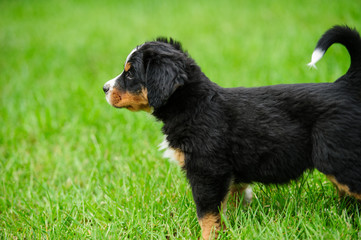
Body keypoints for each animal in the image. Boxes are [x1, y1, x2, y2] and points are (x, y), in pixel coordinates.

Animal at [102, 25, 360, 239]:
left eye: (130, 73)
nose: (104, 88)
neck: (193, 105)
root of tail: (345, 85)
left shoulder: (206, 172)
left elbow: (206, 215)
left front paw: (208, 236)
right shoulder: (229, 175)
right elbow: (230, 204)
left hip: (337, 159)